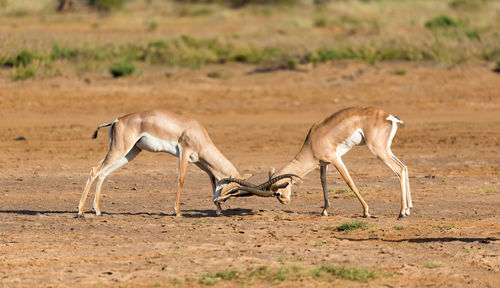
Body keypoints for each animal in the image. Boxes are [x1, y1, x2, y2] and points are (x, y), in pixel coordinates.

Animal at [75, 109, 244, 217]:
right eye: (233, 190)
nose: (218, 201)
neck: (196, 131)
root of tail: (116, 120)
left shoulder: (200, 163)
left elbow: (213, 179)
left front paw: (219, 211)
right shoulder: (184, 153)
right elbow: (181, 178)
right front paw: (178, 212)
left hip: (130, 153)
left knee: (103, 173)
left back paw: (97, 210)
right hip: (120, 150)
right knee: (95, 170)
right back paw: (81, 212)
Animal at [217, 106, 412, 218]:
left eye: (277, 193)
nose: (285, 202)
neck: (314, 140)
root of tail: (389, 117)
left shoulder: (336, 159)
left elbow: (349, 182)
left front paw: (366, 212)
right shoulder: (324, 164)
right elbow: (323, 183)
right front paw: (324, 211)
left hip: (378, 150)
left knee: (398, 170)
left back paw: (401, 213)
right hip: (386, 149)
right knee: (404, 168)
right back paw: (408, 208)